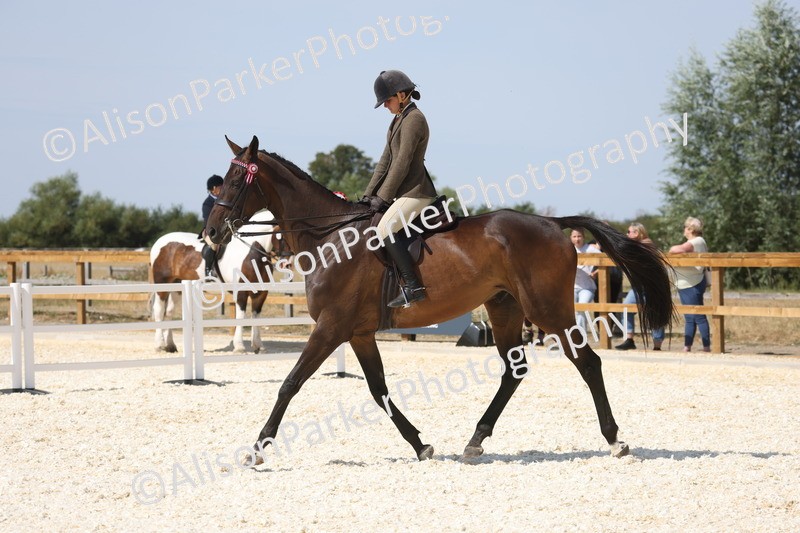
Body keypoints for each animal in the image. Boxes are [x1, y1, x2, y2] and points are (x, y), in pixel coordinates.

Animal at [150, 209, 276, 353]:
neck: (250, 252)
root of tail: (159, 242)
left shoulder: (260, 293)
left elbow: (256, 316)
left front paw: (258, 346)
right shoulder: (241, 293)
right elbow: (240, 316)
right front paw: (239, 346)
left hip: (177, 286)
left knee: (169, 311)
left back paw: (170, 345)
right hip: (162, 283)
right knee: (159, 310)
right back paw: (159, 345)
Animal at [206, 135, 675, 463]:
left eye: (235, 181)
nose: (210, 234)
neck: (330, 238)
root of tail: (552, 223)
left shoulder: (331, 327)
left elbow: (290, 383)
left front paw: (257, 450)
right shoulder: (358, 333)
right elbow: (379, 390)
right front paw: (421, 445)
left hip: (548, 311)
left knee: (588, 363)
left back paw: (615, 441)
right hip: (505, 309)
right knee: (514, 372)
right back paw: (475, 440)